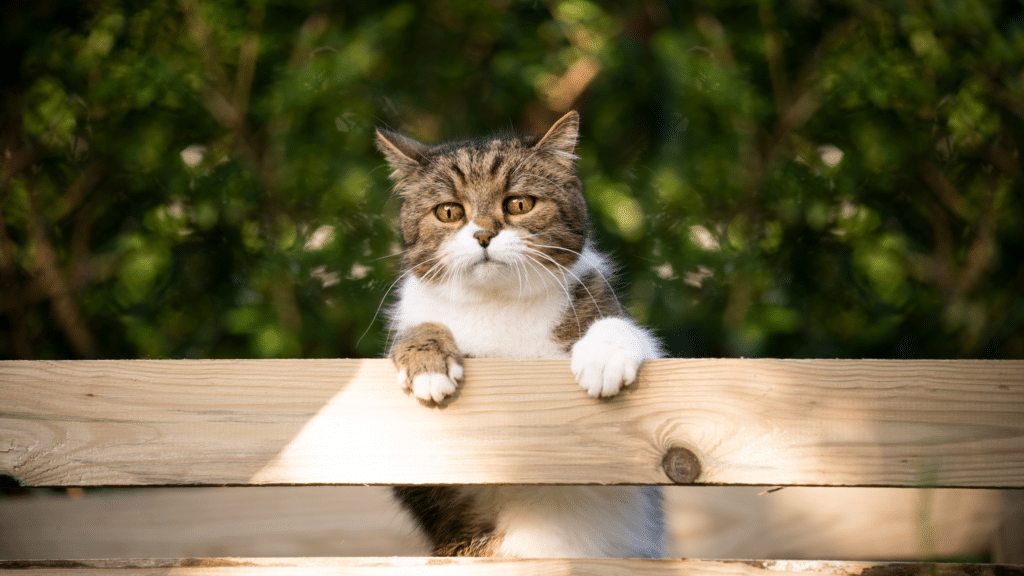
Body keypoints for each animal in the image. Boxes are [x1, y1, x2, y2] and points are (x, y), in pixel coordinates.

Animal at [376, 109, 663, 553]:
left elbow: (622, 326)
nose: (483, 234)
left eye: (519, 204)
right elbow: (422, 326)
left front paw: (602, 360)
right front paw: (429, 364)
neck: (500, 306)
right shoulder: (437, 490)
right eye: (449, 212)